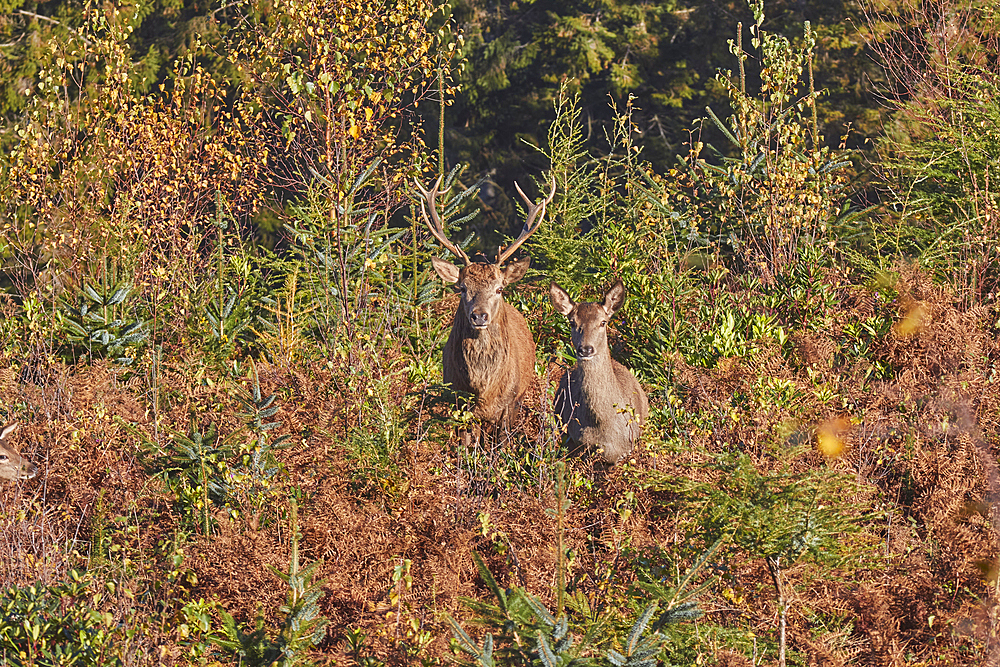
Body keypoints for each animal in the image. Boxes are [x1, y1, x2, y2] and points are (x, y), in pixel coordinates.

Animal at [414, 176, 556, 444]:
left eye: (499, 288)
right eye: (462, 288)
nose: (479, 315)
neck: (483, 389)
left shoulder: (511, 403)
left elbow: (501, 444)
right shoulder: (459, 402)